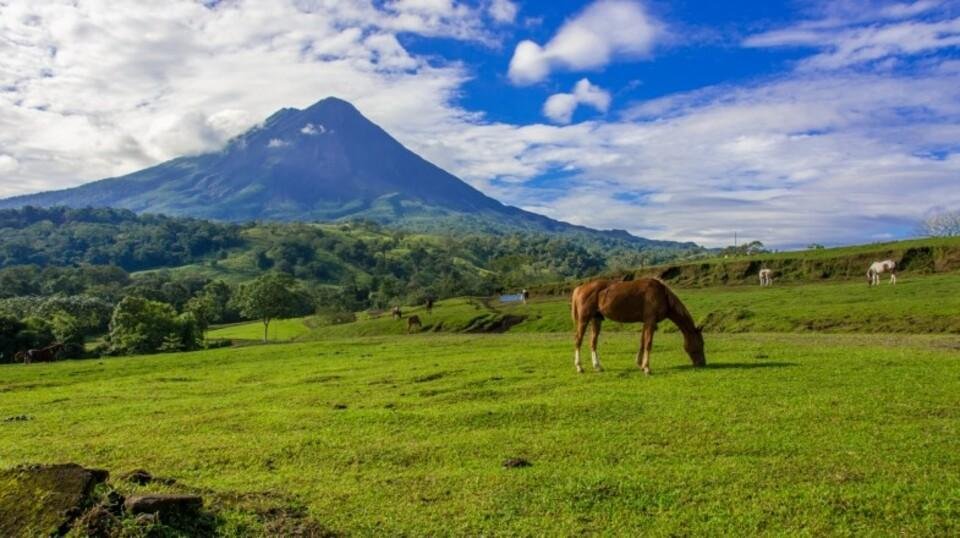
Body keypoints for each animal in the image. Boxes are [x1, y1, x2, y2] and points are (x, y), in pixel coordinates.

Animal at [568, 276, 704, 372]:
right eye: (701, 343)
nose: (702, 363)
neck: (662, 294)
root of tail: (580, 288)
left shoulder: (646, 322)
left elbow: (642, 342)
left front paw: (640, 364)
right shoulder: (650, 321)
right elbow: (648, 343)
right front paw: (647, 368)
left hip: (596, 319)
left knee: (593, 342)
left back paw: (597, 366)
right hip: (584, 319)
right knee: (578, 340)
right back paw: (579, 367)